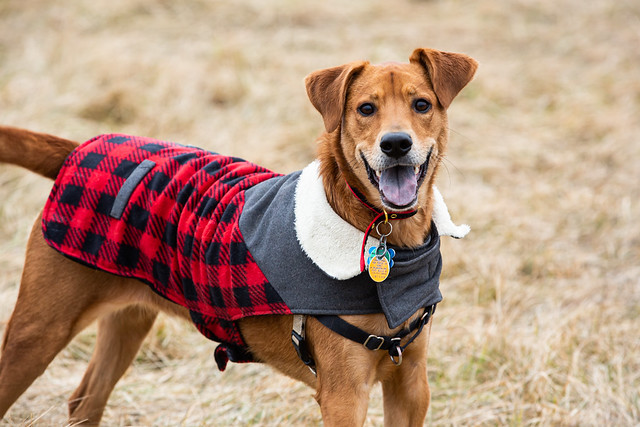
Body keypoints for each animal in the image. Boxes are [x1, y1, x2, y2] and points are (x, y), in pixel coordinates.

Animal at [0, 48, 476, 426]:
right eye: (365, 109)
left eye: (421, 104)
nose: (396, 144)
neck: (388, 238)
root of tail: (79, 149)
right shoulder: (345, 394)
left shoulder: (411, 383)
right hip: (39, 329)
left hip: (130, 319)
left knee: (85, 401)